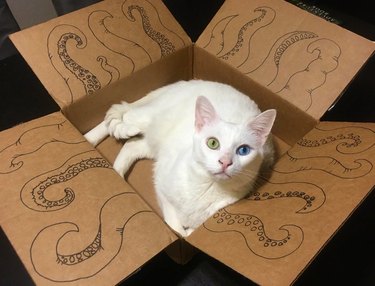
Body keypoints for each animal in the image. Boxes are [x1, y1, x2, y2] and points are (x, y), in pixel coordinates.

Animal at [85, 79, 276, 236]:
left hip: (154, 144)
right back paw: (89, 139)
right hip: (146, 119)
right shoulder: (161, 185)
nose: (225, 162)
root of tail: (187, 82)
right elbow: (174, 226)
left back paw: (116, 172)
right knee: (120, 117)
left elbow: (189, 233)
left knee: (131, 145)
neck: (206, 187)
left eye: (243, 150)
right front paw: (179, 229)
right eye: (213, 143)